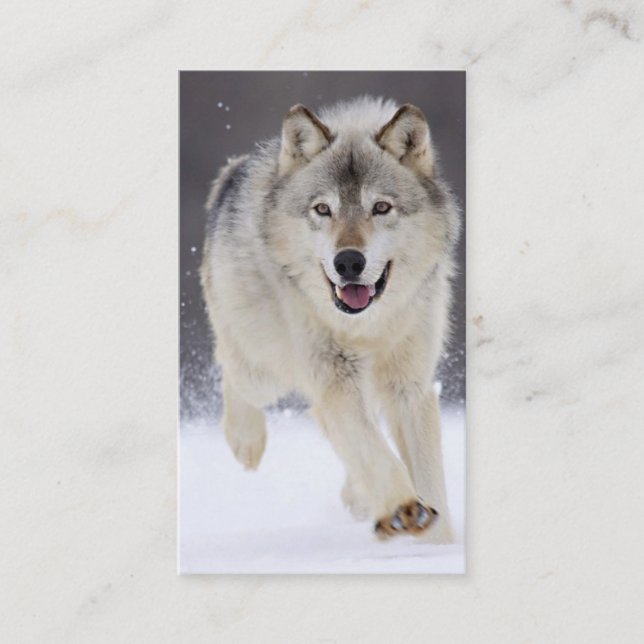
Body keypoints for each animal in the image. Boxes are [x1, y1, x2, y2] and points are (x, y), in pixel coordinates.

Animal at [200, 96, 460, 543]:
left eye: (381, 207)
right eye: (323, 209)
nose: (349, 262)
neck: (368, 326)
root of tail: (234, 170)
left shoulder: (409, 387)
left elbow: (426, 476)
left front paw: (437, 541)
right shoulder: (334, 378)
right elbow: (375, 451)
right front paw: (404, 508)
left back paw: (358, 498)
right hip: (264, 370)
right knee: (231, 368)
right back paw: (245, 441)